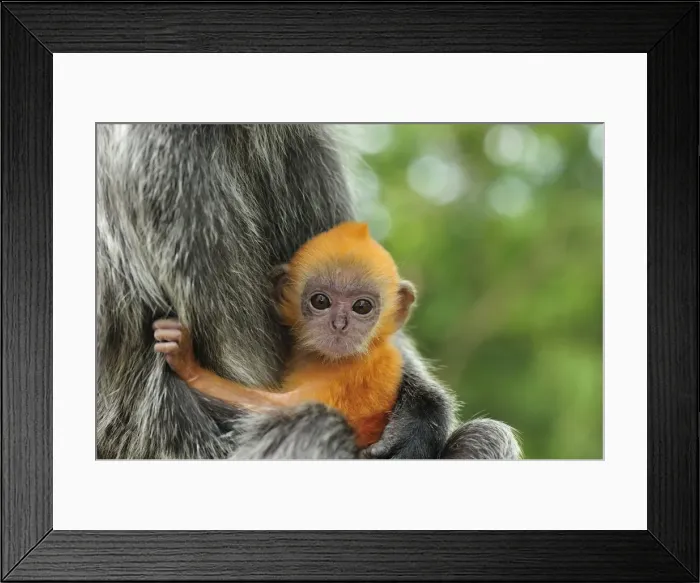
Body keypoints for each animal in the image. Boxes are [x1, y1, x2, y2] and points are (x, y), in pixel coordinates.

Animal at [153, 221, 417, 449]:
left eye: (362, 306)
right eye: (320, 301)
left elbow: (275, 408)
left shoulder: (357, 373)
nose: (340, 324)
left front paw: (189, 364)